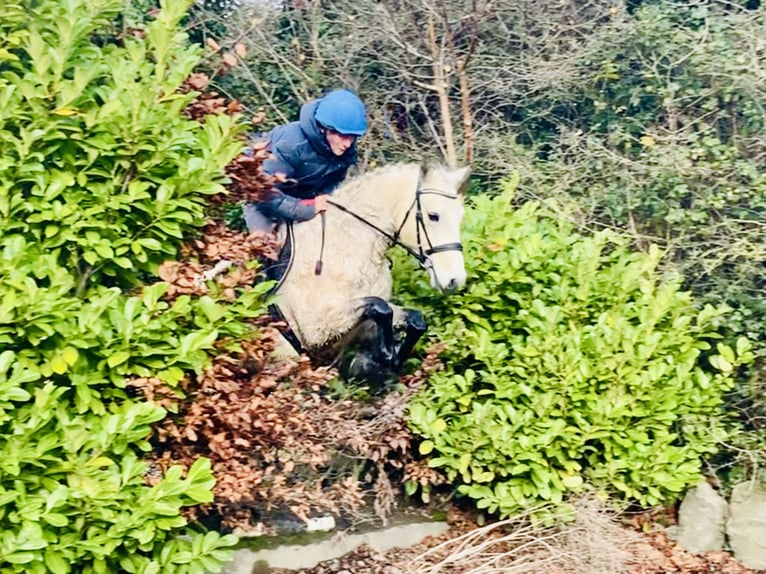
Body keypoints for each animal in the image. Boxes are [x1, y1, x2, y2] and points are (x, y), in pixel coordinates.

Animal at [270, 162, 474, 384]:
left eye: (460, 217)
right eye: (433, 216)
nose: (455, 280)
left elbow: (413, 319)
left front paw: (391, 357)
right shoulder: (317, 325)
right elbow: (381, 308)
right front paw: (387, 354)